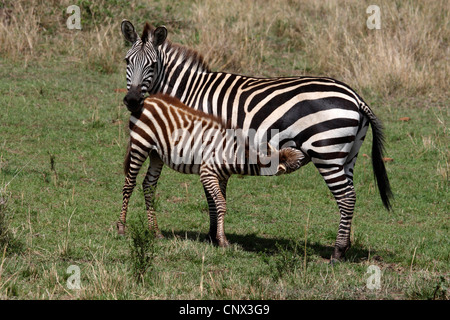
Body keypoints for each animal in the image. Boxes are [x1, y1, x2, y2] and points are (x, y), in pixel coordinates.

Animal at [118, 94, 306, 246]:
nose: (307, 152)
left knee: (148, 185)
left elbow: (216, 204)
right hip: (140, 144)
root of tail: (148, 99)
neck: (233, 154)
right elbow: (221, 204)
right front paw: (222, 240)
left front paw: (214, 237)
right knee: (129, 183)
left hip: (156, 154)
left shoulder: (222, 177)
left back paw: (155, 231)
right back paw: (121, 228)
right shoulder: (207, 173)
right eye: (297, 162)